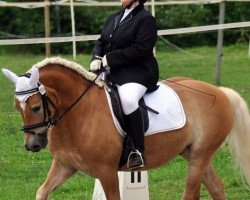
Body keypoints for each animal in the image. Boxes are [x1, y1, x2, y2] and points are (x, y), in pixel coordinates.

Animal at [1, 56, 250, 200]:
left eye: (35, 107)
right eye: (16, 106)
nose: (32, 145)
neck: (78, 112)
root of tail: (219, 91)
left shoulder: (106, 172)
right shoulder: (64, 165)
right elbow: (42, 192)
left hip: (200, 155)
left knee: (191, 192)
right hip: (192, 153)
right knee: (216, 188)